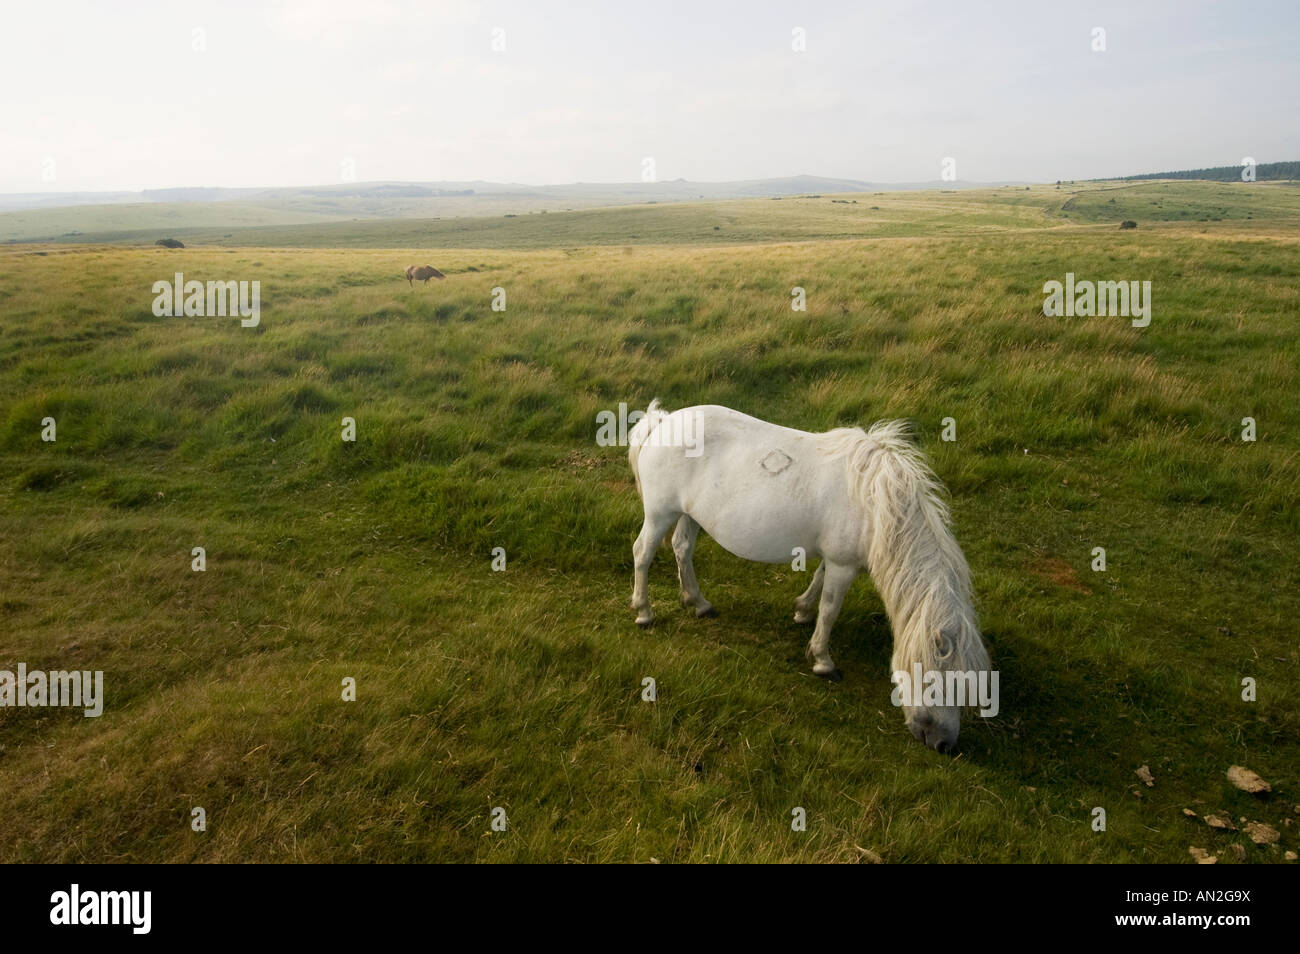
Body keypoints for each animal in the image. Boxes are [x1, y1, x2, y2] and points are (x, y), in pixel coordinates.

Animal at [627, 401, 991, 752]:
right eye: (940, 682)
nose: (945, 744)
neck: (875, 502)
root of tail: (662, 421)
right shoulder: (843, 566)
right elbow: (830, 610)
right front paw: (822, 660)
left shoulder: (835, 558)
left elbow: (817, 580)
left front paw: (802, 610)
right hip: (660, 514)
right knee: (642, 553)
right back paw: (644, 612)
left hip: (688, 515)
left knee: (682, 548)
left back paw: (698, 602)